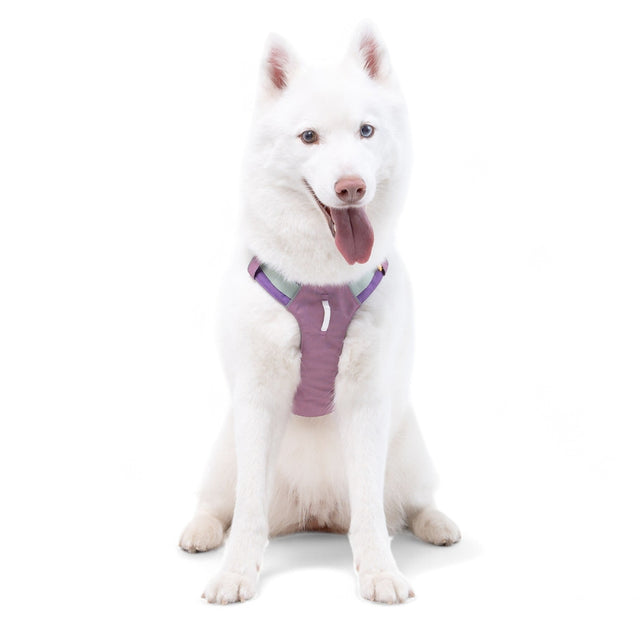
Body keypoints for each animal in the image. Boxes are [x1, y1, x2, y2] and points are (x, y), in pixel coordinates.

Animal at [179, 23, 461, 605]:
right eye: (308, 137)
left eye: (366, 131)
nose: (351, 186)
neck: (323, 285)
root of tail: (317, 514)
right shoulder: (257, 401)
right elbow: (247, 513)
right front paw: (236, 573)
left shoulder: (367, 401)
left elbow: (373, 511)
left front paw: (378, 571)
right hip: (224, 451)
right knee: (219, 503)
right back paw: (200, 530)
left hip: (409, 446)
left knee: (409, 502)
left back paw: (436, 523)